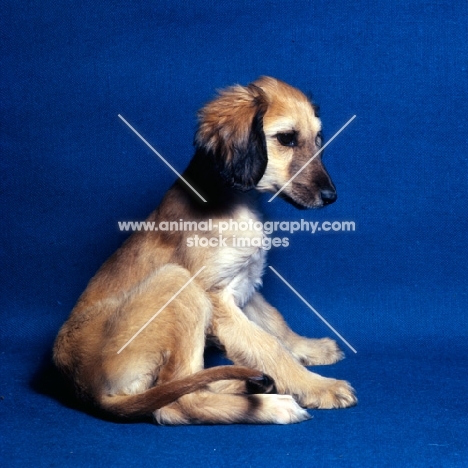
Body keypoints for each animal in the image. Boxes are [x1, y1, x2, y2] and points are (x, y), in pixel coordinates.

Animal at [53, 76, 356, 424]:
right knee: (179, 401)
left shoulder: (244, 283)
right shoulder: (216, 298)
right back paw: (271, 404)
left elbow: (275, 324)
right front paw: (318, 386)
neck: (236, 200)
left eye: (318, 139)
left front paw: (309, 348)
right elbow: (268, 345)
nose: (331, 196)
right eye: (286, 139)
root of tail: (88, 391)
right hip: (179, 285)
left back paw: (254, 385)